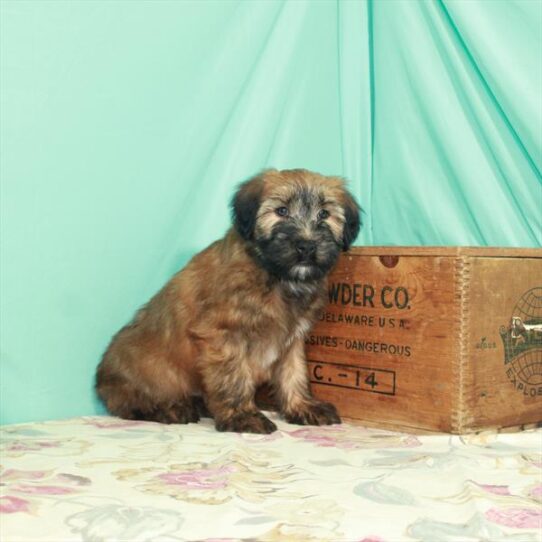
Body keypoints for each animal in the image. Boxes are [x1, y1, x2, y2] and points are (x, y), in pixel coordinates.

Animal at [96, 168, 364, 436]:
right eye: (282, 211)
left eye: (324, 214)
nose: (306, 246)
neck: (274, 274)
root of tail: (102, 381)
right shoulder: (223, 335)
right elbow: (234, 378)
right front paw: (242, 416)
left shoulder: (292, 339)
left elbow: (293, 373)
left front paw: (302, 407)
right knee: (132, 404)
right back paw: (170, 408)